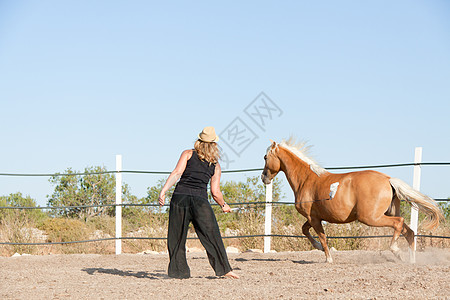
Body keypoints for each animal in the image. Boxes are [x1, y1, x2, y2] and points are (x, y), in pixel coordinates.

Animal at [260, 138, 442, 262]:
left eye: (265, 157)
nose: (264, 177)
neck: (306, 179)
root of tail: (388, 179)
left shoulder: (314, 218)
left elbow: (321, 237)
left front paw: (328, 258)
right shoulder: (314, 217)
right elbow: (305, 230)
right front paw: (319, 249)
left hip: (370, 217)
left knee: (399, 223)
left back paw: (396, 250)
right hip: (387, 213)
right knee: (409, 232)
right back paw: (411, 260)